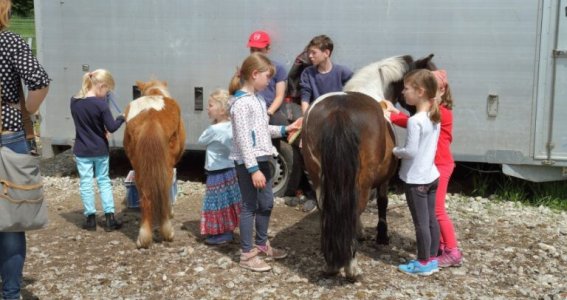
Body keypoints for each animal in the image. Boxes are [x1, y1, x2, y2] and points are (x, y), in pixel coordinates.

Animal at [124, 79, 186, 248]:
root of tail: (151, 115)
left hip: (139, 169)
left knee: (145, 196)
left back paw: (144, 237)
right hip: (167, 168)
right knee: (164, 191)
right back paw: (167, 231)